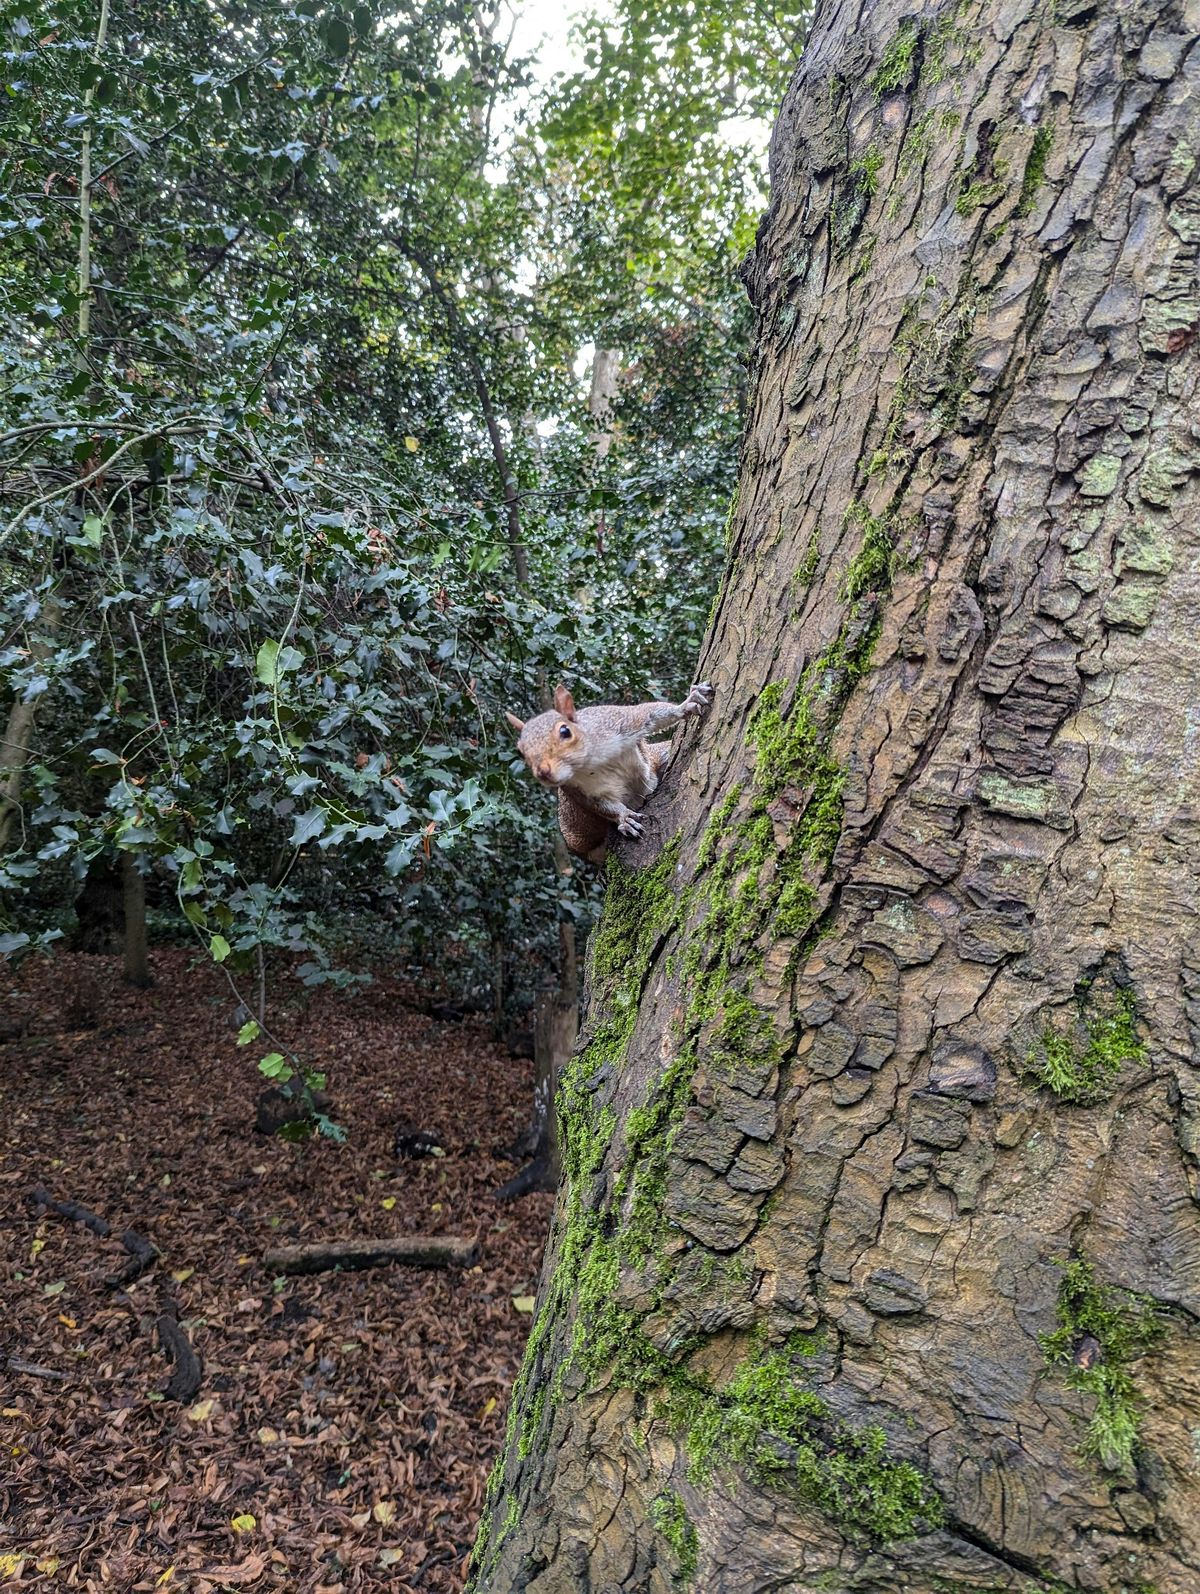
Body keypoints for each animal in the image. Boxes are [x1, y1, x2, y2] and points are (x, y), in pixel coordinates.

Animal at [503, 679, 710, 867]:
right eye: (520, 751)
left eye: (565, 731)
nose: (543, 772)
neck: (589, 762)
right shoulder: (578, 791)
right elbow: (602, 806)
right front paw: (625, 818)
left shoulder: (614, 721)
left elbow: (650, 714)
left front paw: (687, 703)